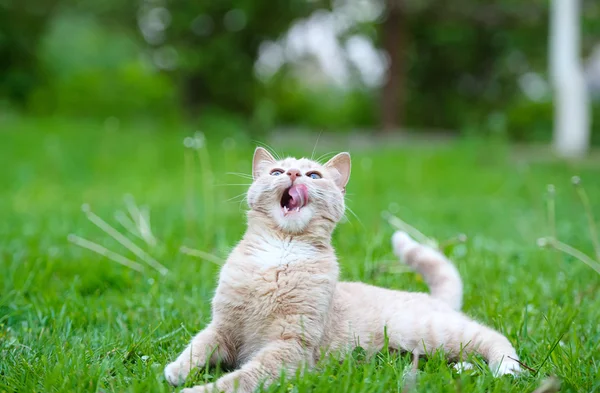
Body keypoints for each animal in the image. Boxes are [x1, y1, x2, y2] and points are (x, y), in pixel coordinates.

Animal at [165, 148, 520, 392]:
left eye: (313, 176)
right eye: (277, 171)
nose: (293, 174)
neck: (280, 255)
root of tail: (433, 299)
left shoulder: (290, 348)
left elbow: (240, 379)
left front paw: (199, 389)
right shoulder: (223, 328)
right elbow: (198, 346)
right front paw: (177, 371)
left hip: (431, 331)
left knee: (494, 337)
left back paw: (504, 369)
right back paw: (463, 371)